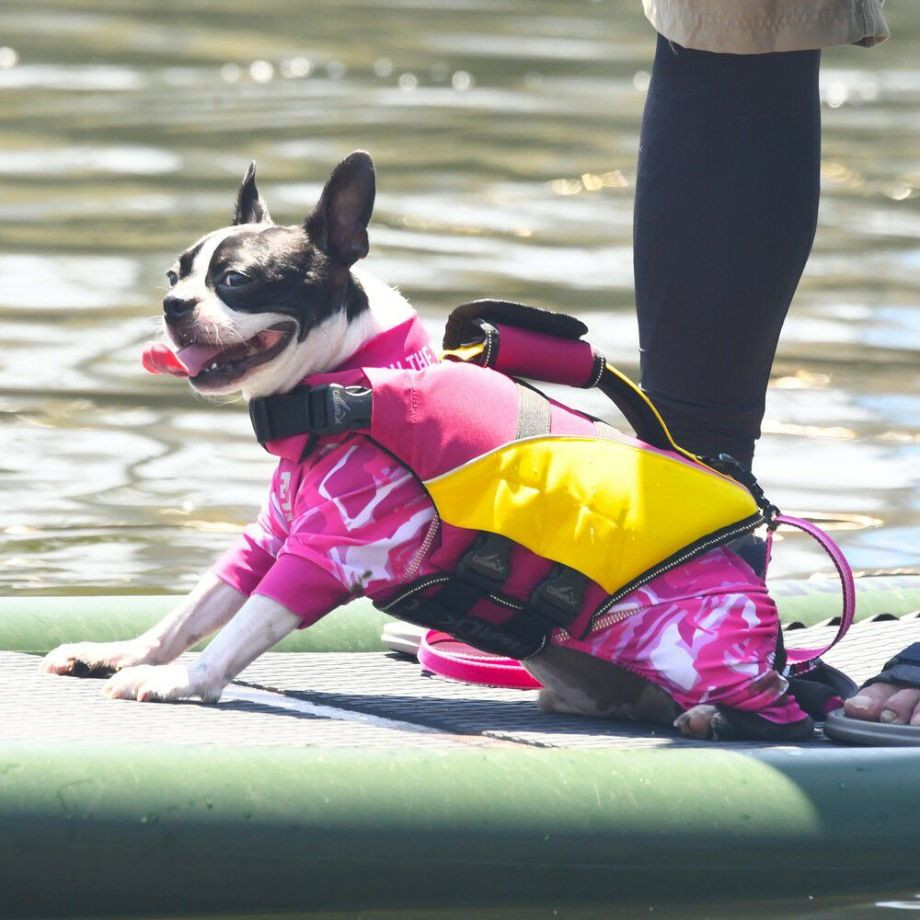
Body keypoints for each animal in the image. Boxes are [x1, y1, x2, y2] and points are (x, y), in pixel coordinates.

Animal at [41, 151, 812, 740]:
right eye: (176, 277)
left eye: (237, 282)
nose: (173, 306)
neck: (347, 382)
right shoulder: (269, 536)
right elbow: (196, 607)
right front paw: (124, 654)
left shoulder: (330, 548)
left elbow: (241, 628)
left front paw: (182, 681)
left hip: (695, 641)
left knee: (794, 710)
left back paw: (719, 716)